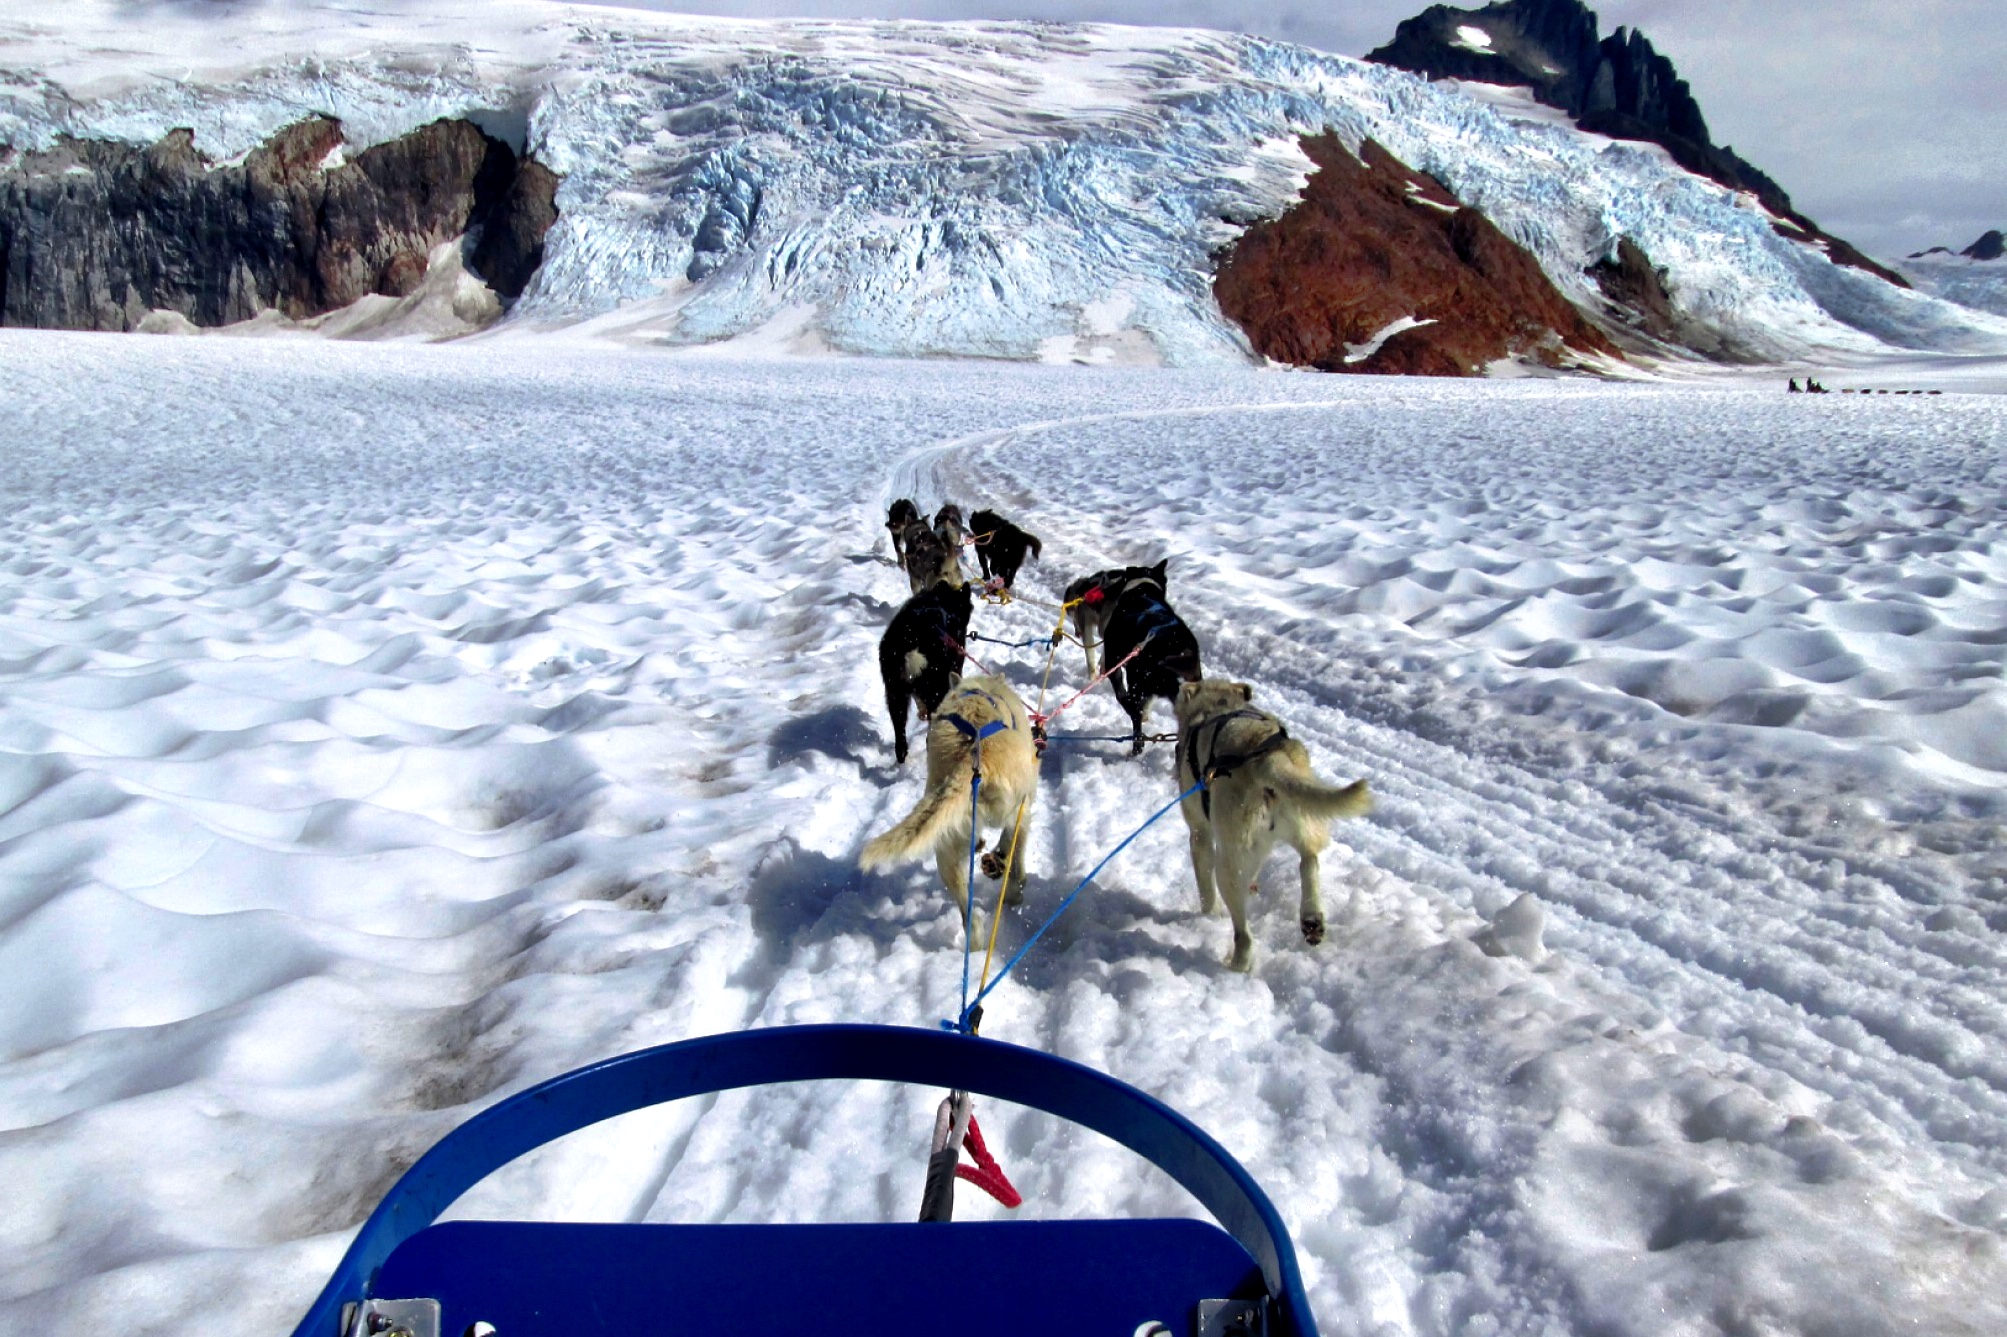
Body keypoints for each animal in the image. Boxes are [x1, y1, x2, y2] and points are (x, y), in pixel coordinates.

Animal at [858, 670, 1035, 911]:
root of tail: (971, 761)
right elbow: (1009, 847)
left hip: (947, 848)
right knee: (1014, 857)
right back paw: (1012, 889)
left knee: (971, 912)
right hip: (1018, 813)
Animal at [1099, 554, 1204, 750]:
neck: (1143, 591)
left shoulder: (1112, 662)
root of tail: (1175, 647)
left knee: (1134, 716)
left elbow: (1123, 697)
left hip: (1137, 681)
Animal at [1172, 678, 1372, 967]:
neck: (1217, 705)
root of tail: (1266, 759)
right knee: (1309, 859)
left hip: (1228, 865)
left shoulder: (1200, 834)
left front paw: (1209, 916)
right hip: (1302, 823)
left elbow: (1205, 889)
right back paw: (1311, 917)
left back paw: (1237, 965)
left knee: (1244, 935)